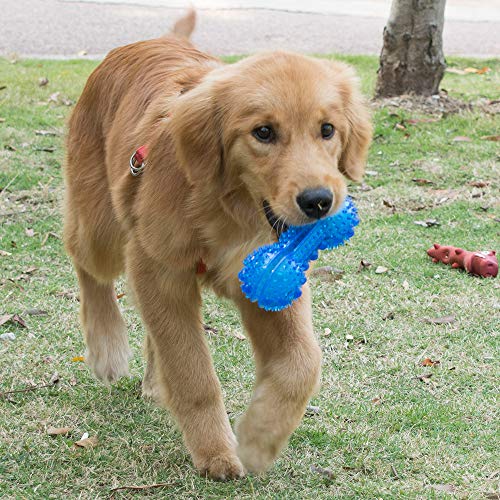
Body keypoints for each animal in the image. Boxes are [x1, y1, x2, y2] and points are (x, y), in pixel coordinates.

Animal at [63, 7, 372, 476]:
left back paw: (153, 381)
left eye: (327, 129)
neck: (230, 211)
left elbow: (302, 364)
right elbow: (193, 372)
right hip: (101, 225)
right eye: (263, 132)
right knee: (86, 263)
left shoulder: (267, 281)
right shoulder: (160, 270)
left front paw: (260, 438)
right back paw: (106, 348)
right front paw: (215, 451)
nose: (319, 201)